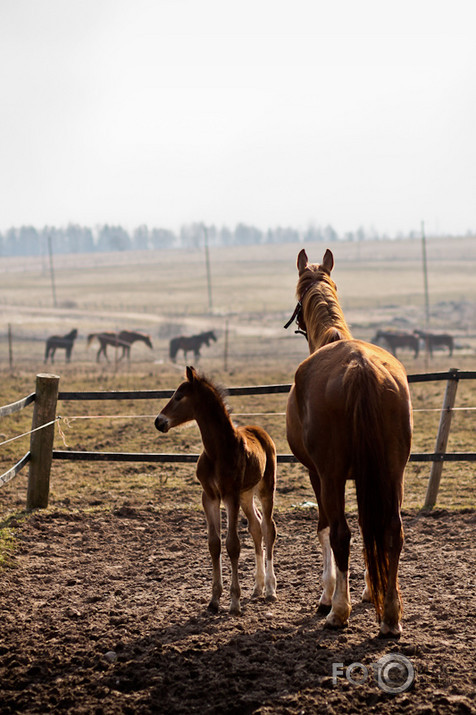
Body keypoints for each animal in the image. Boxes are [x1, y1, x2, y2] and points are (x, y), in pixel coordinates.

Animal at [154, 370, 278, 616]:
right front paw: (213, 600)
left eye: (179, 396)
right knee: (256, 527)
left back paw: (270, 589)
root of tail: (261, 432)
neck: (218, 451)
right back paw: (257, 588)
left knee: (269, 528)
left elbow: (233, 545)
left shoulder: (230, 496)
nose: (159, 422)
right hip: (246, 494)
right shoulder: (209, 496)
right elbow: (214, 544)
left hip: (265, 487)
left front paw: (234, 602)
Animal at [284, 250, 410, 636]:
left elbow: (325, 529)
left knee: (340, 533)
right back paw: (390, 616)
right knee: (392, 530)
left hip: (332, 474)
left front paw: (327, 595)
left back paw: (338, 611)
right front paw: (372, 590)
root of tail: (360, 367)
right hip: (393, 471)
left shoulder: (318, 473)